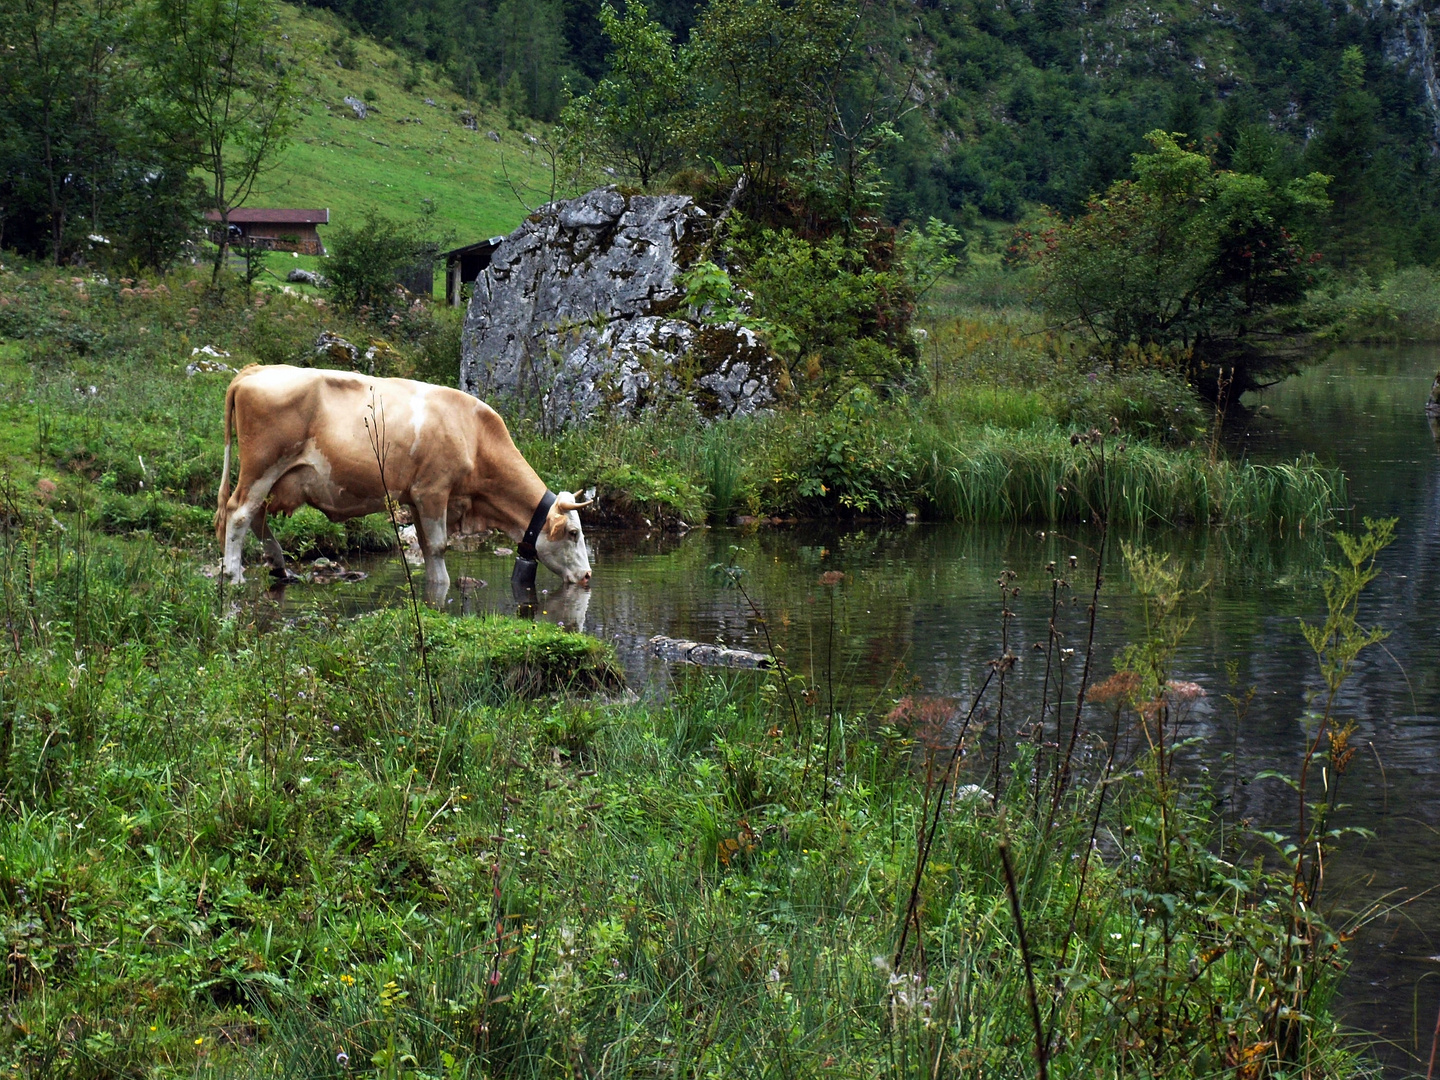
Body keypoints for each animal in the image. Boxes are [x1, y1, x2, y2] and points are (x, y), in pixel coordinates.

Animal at [211, 368, 590, 596]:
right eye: (573, 533)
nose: (588, 576)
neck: (475, 434)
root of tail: (256, 370)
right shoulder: (433, 490)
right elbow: (437, 547)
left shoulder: (416, 497)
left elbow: (425, 548)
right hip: (262, 467)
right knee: (239, 514)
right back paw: (234, 575)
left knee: (255, 517)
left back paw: (278, 566)